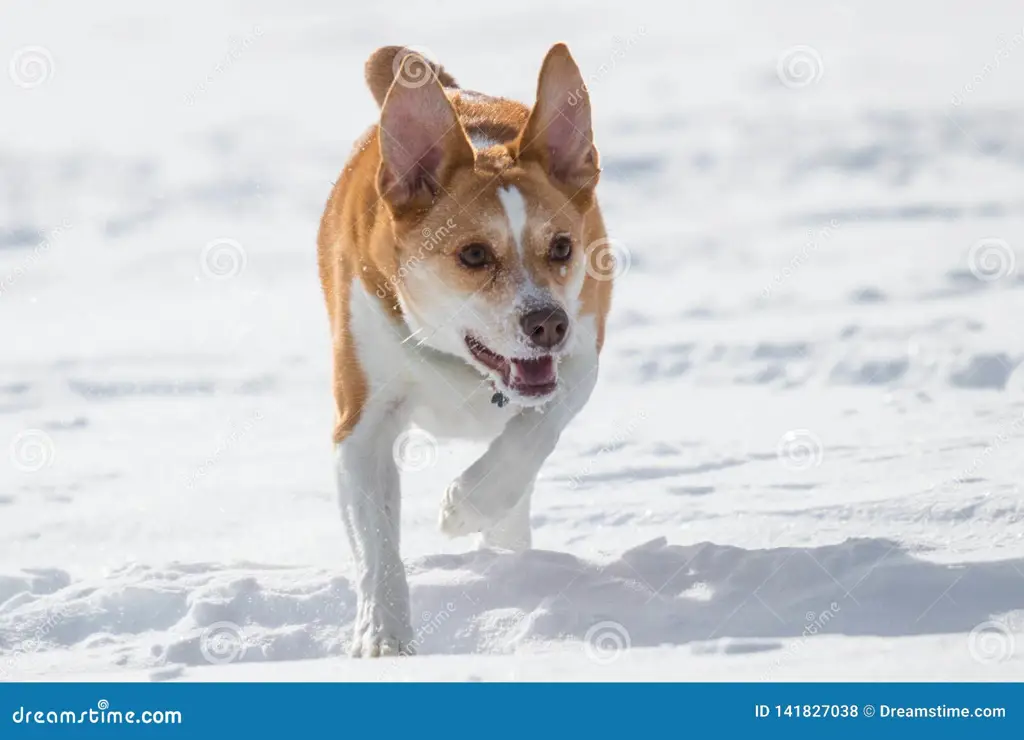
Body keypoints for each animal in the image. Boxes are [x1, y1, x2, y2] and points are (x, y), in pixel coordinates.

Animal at [315, 44, 610, 659]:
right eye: (474, 254)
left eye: (562, 247)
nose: (548, 323)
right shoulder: (361, 422)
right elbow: (376, 542)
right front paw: (384, 637)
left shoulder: (580, 355)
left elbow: (535, 431)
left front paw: (466, 505)